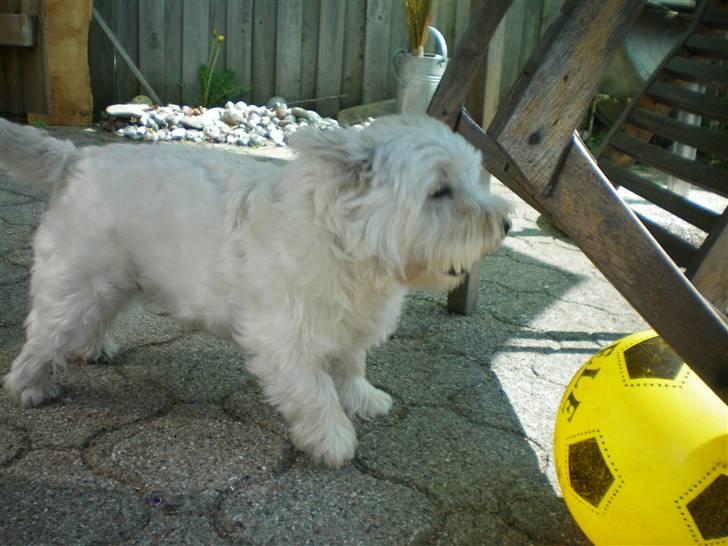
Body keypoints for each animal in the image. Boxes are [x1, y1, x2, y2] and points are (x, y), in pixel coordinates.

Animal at [1, 115, 512, 464]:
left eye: (472, 179)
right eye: (440, 192)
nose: (506, 225)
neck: (348, 248)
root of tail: (77, 158)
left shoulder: (347, 325)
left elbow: (351, 366)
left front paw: (364, 400)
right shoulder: (286, 340)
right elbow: (316, 390)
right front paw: (332, 439)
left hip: (113, 281)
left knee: (93, 318)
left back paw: (95, 347)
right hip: (74, 284)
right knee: (41, 340)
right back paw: (31, 388)